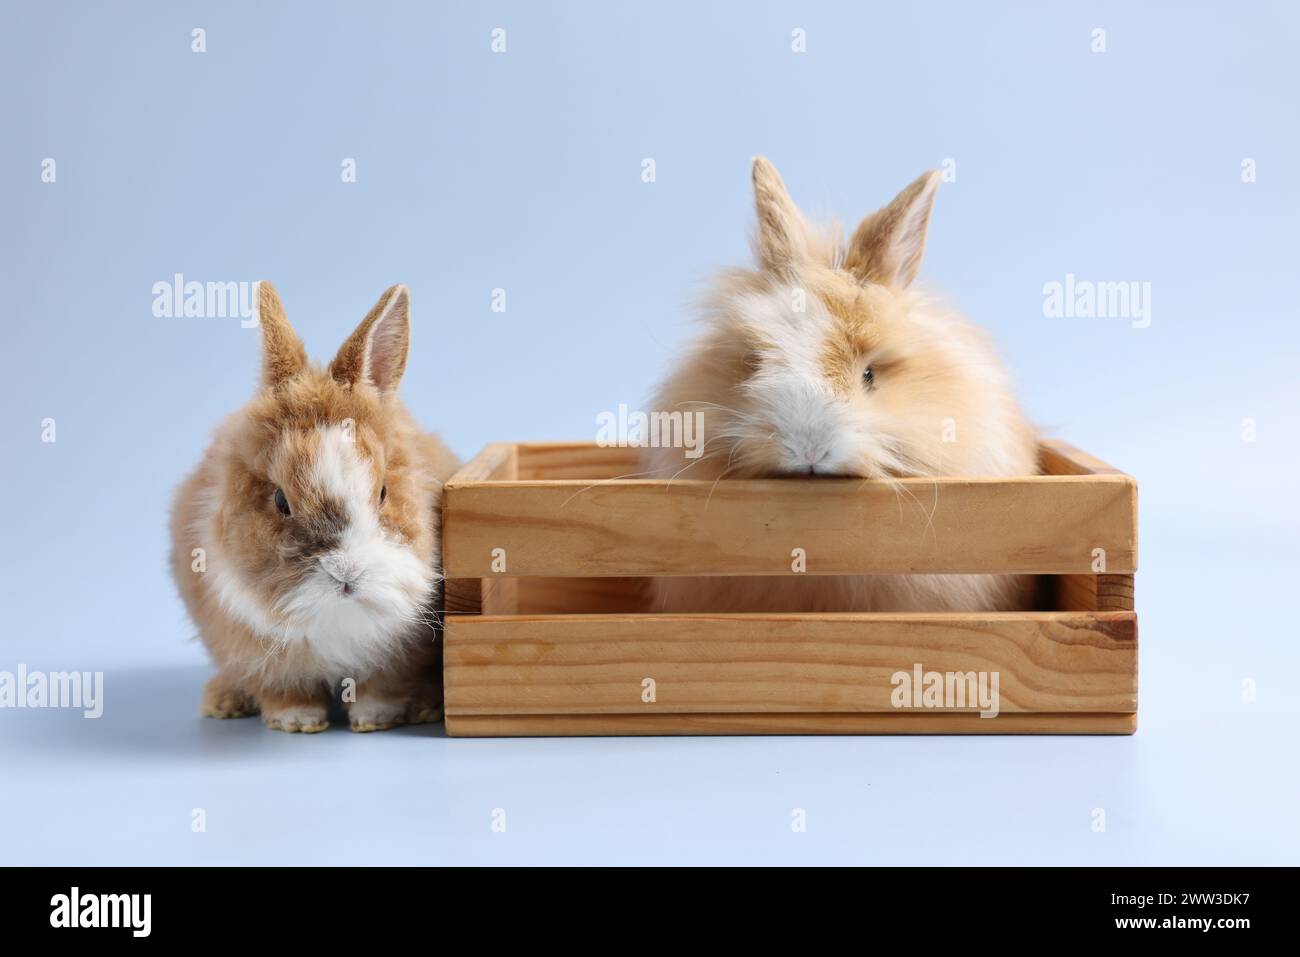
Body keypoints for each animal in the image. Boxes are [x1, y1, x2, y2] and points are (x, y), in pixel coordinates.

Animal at [170, 281, 459, 732]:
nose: (346, 574)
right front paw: (297, 721)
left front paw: (375, 718)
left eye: (382, 492)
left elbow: (382, 688)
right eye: (280, 500)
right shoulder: (257, 654)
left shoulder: (399, 657)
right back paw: (222, 701)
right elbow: (286, 691)